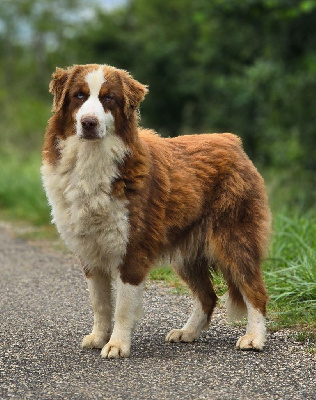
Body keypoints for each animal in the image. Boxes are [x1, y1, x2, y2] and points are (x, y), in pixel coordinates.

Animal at [40, 63, 270, 360]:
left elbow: (123, 306)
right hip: (187, 253)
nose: (88, 123)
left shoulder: (133, 250)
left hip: (234, 239)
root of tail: (231, 141)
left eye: (108, 98)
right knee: (208, 296)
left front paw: (117, 344)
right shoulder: (90, 252)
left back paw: (253, 338)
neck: (93, 159)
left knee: (254, 290)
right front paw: (99, 337)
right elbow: (100, 303)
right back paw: (187, 332)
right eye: (79, 96)